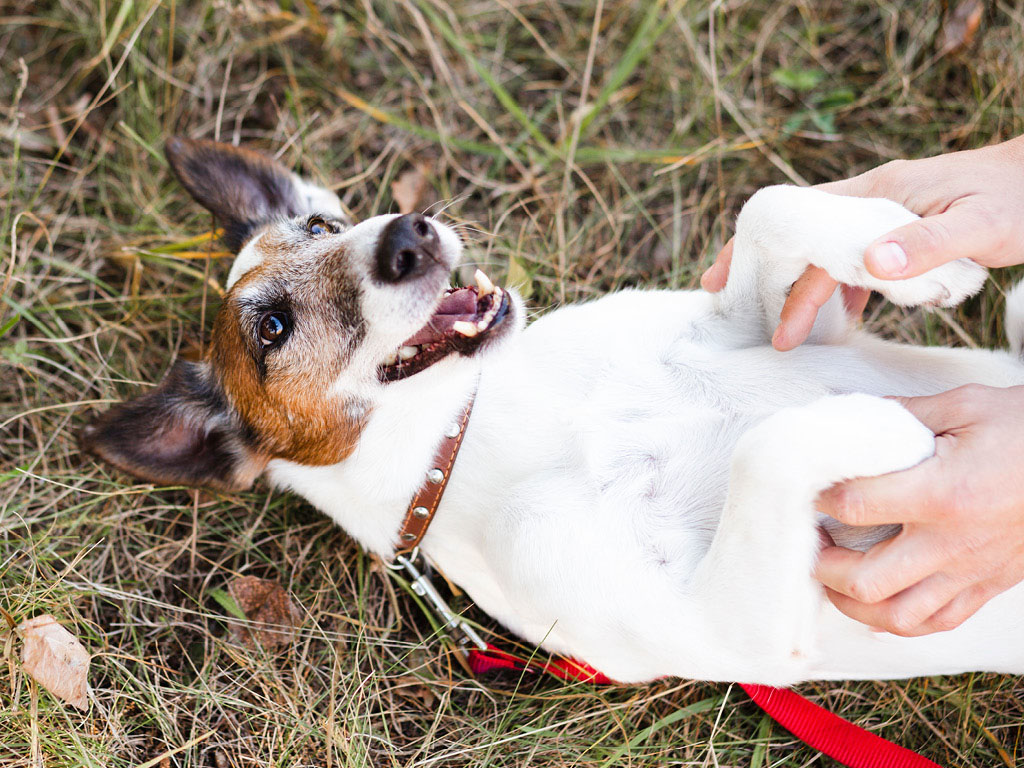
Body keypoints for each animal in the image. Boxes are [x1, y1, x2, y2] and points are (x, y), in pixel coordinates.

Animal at [82, 138, 1024, 686]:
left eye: (321, 224)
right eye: (272, 328)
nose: (409, 235)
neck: (508, 422)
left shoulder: (792, 328)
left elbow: (771, 206)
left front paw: (912, 254)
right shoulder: (733, 634)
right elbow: (766, 449)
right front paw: (886, 429)